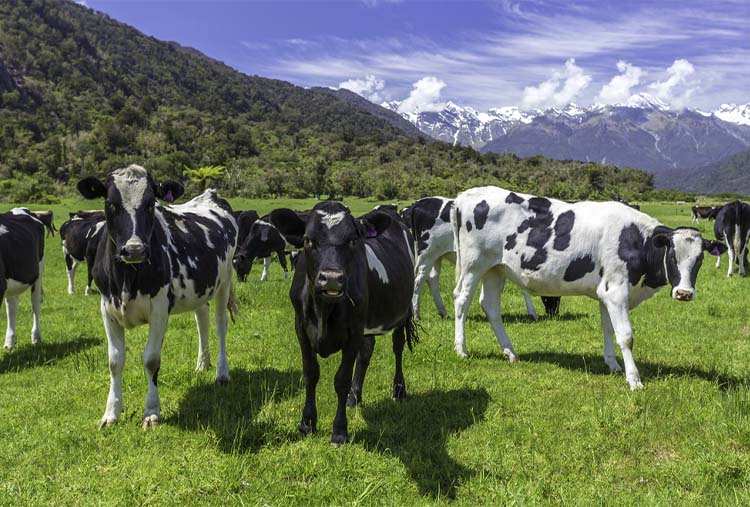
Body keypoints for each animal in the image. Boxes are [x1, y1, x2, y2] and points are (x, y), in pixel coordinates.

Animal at [76, 164, 238, 428]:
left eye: (151, 203)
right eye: (110, 203)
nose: (134, 249)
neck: (126, 278)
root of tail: (210, 194)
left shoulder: (160, 308)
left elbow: (151, 359)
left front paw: (151, 412)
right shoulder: (107, 308)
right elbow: (114, 361)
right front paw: (111, 413)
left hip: (224, 281)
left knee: (220, 324)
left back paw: (221, 373)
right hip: (200, 288)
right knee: (202, 320)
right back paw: (202, 364)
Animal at [270, 201, 417, 445]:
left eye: (352, 240)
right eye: (308, 240)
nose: (331, 278)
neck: (324, 311)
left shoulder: (354, 331)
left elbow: (341, 380)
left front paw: (339, 431)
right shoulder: (301, 328)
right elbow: (310, 374)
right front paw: (307, 423)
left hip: (403, 310)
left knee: (398, 346)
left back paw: (399, 389)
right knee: (366, 351)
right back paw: (354, 397)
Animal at [403, 196, 560, 320]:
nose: (554, 313)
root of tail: (420, 202)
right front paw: (532, 313)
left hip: (437, 256)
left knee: (432, 279)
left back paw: (443, 312)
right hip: (426, 254)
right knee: (418, 280)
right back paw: (417, 315)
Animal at [451, 186, 726, 390]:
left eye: (699, 259)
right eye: (671, 256)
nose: (684, 293)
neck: (637, 240)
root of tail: (465, 195)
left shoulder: (606, 292)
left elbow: (608, 328)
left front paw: (613, 365)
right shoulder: (616, 291)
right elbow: (626, 336)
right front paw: (634, 380)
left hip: (496, 269)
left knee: (490, 306)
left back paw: (510, 352)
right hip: (473, 264)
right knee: (462, 300)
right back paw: (461, 349)